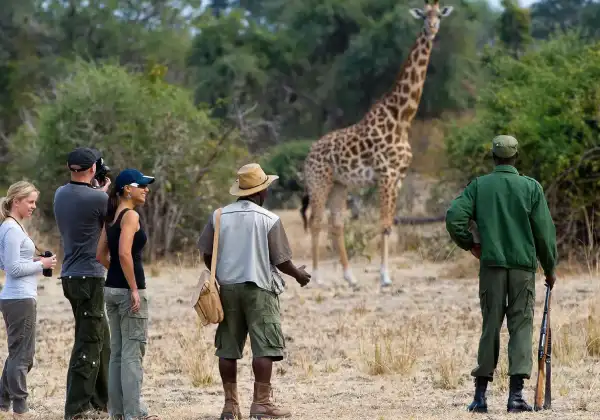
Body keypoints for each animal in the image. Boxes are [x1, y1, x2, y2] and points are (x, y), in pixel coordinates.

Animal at [300, 0, 454, 288]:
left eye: (439, 14)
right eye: (423, 15)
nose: (432, 28)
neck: (402, 117)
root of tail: (309, 154)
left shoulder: (398, 177)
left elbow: (390, 223)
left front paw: (383, 274)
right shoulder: (386, 174)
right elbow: (384, 224)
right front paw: (384, 277)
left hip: (339, 185)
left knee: (336, 224)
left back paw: (350, 277)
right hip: (319, 182)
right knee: (315, 221)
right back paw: (316, 277)